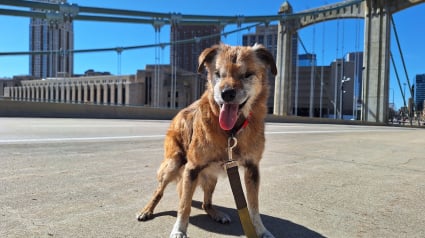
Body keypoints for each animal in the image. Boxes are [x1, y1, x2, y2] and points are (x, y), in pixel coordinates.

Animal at [137, 43, 276, 238]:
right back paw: (147, 210)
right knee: (160, 191)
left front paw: (261, 231)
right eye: (218, 73)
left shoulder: (252, 168)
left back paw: (216, 214)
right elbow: (184, 206)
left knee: (206, 203)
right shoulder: (192, 168)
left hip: (211, 177)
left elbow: (254, 206)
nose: (227, 93)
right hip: (174, 164)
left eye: (247, 74)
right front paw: (179, 230)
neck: (231, 131)